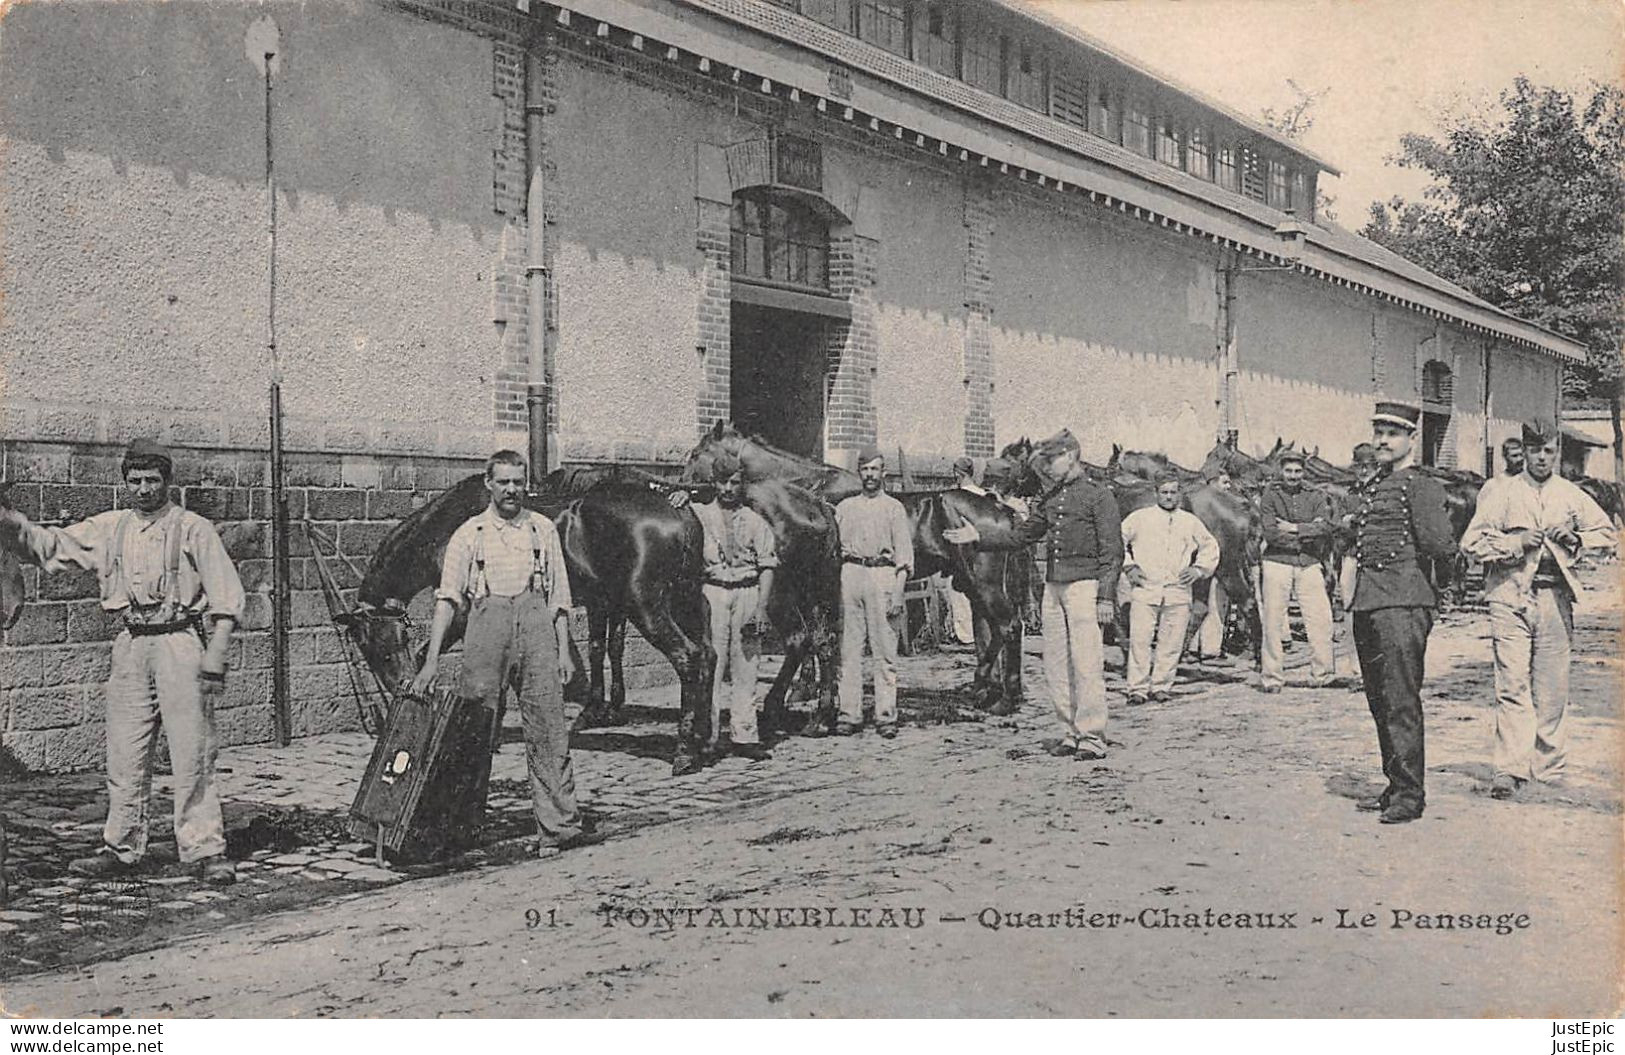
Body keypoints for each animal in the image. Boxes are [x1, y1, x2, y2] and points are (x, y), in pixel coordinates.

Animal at [342, 468, 718, 773]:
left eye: (373, 648)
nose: (398, 687)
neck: (449, 527)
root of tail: (677, 507)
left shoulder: (465, 609)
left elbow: (434, 656)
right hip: (685, 600)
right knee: (708, 657)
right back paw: (704, 742)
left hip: (645, 606)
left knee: (688, 658)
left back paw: (684, 752)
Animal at [695, 422, 1027, 715]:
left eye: (697, 454)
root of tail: (1000, 509)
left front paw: (805, 690)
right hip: (972, 585)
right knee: (992, 630)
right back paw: (988, 689)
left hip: (984, 583)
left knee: (1008, 626)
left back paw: (1004, 697)